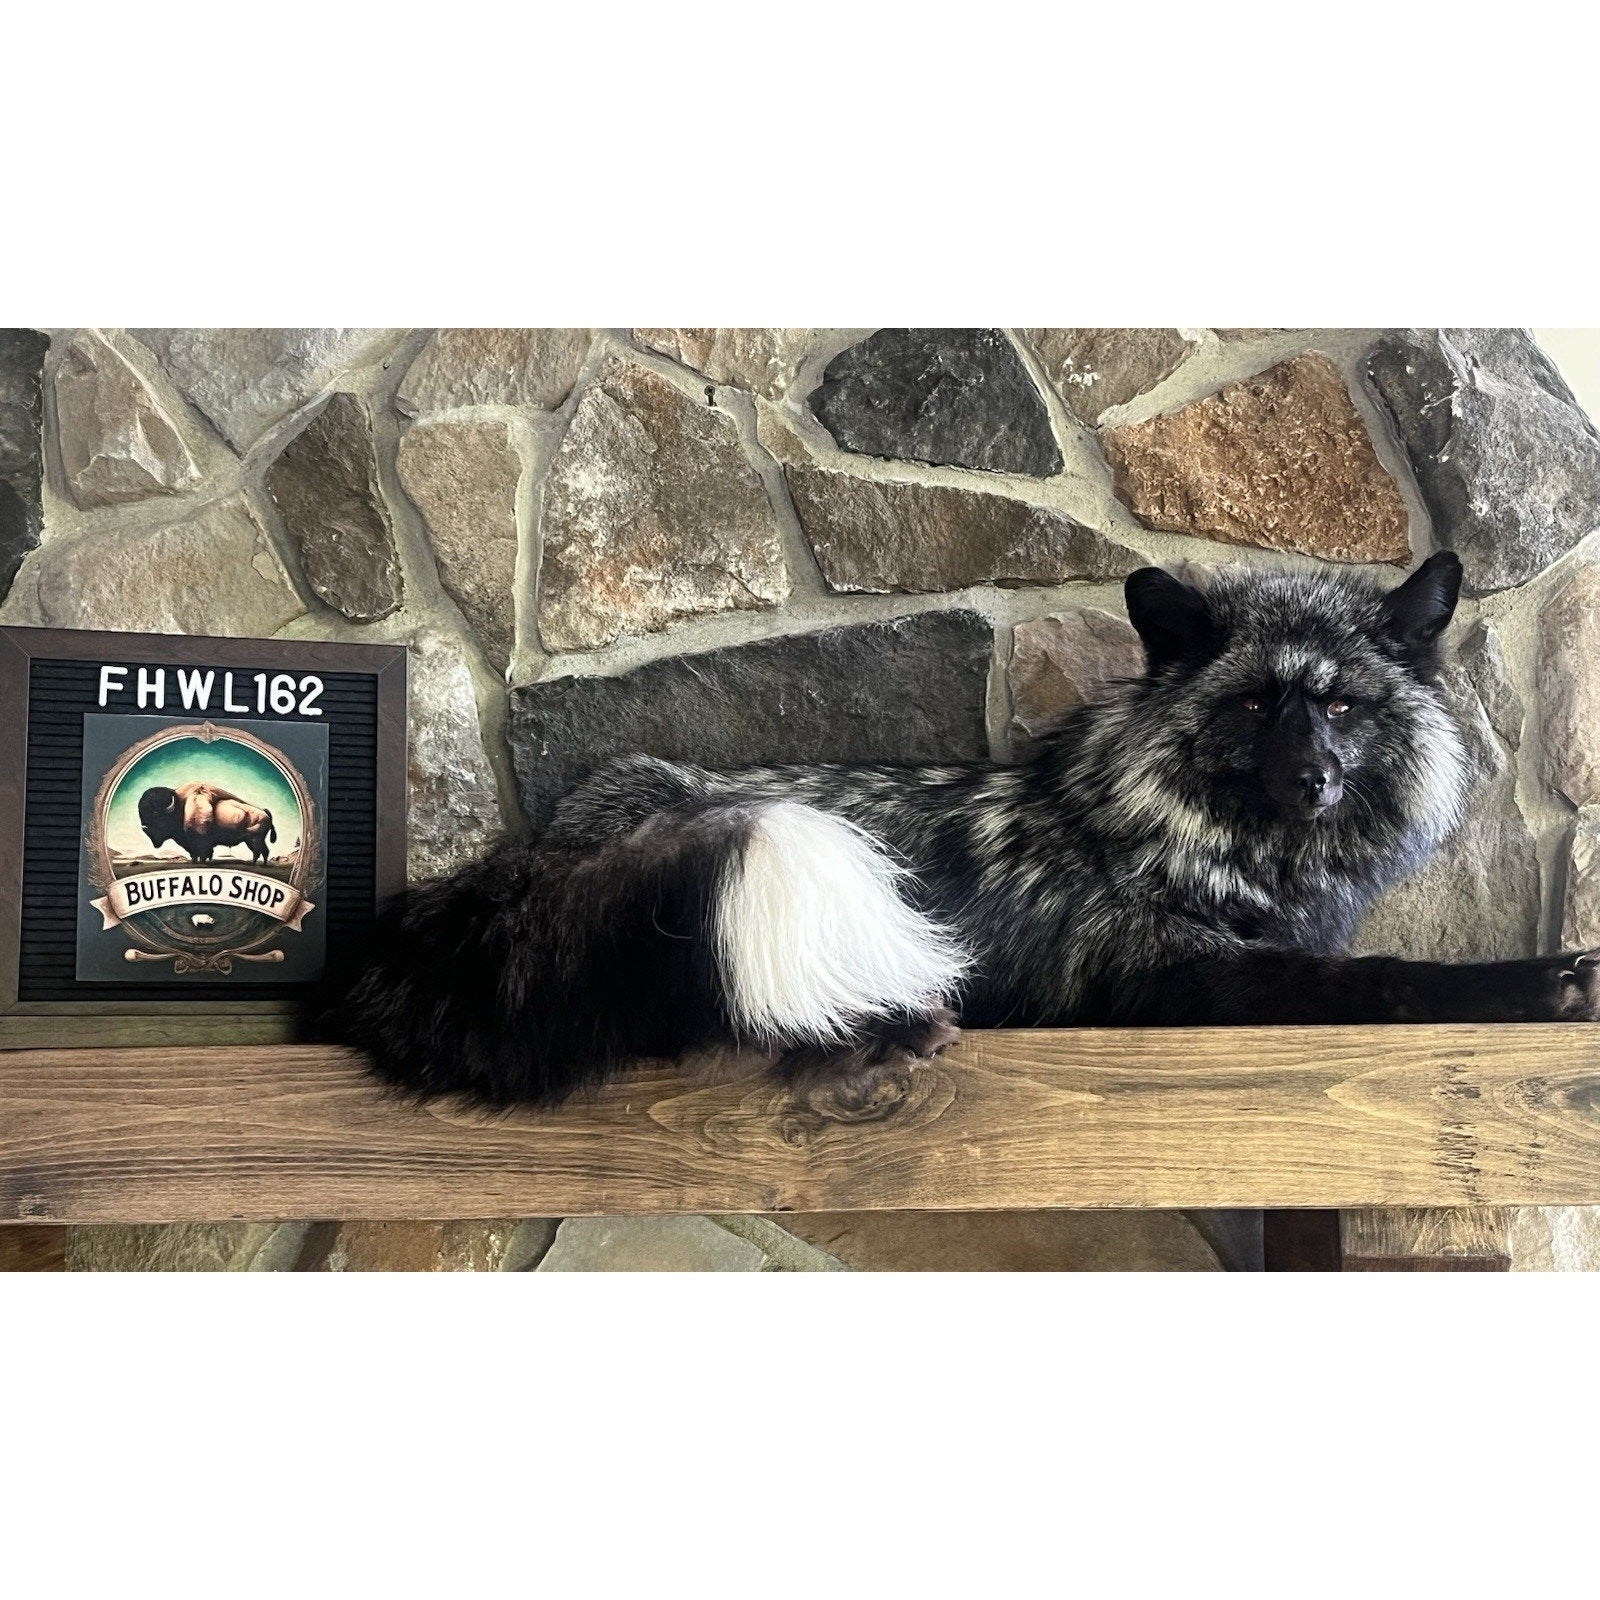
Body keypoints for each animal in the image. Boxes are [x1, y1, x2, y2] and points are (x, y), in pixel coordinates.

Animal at [331, 550, 1600, 1106]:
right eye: (1252, 705)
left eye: (1339, 705)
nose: (1314, 779)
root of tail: (516, 862)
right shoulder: (1164, 981)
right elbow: (1390, 979)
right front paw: (1545, 983)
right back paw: (883, 1031)